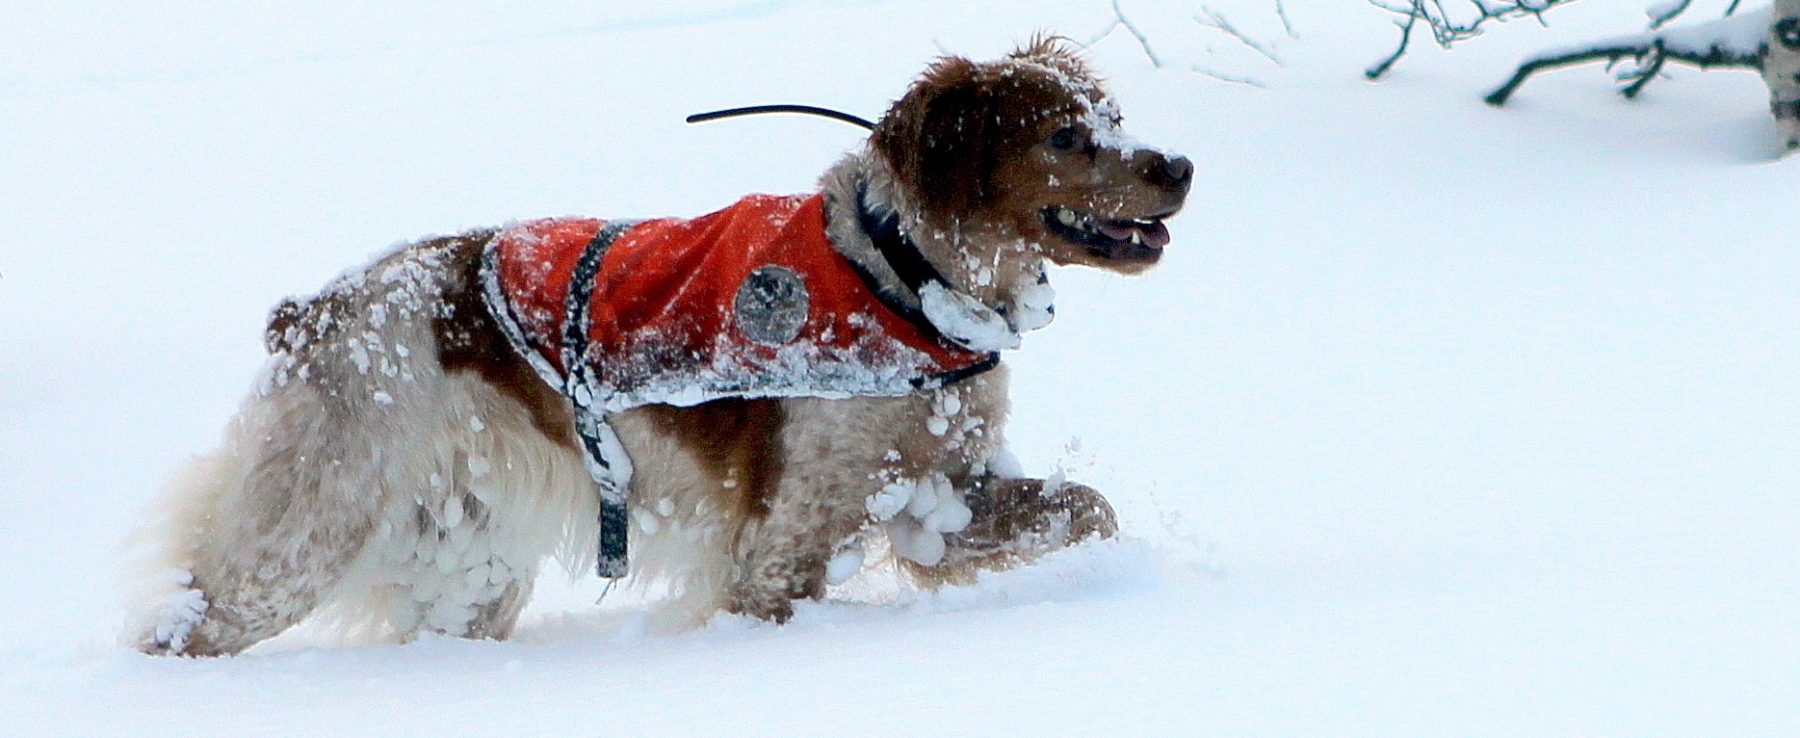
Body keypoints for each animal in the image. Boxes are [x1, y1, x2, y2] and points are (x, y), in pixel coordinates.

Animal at [130, 37, 1195, 655]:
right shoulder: (779, 546)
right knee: (189, 618)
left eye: (1111, 119)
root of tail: (317, 308)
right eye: (1064, 137)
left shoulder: (935, 493)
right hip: (309, 522)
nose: (1179, 166)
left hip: (467, 565)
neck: (902, 279)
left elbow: (1088, 509)